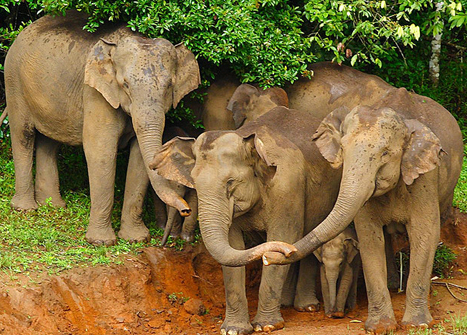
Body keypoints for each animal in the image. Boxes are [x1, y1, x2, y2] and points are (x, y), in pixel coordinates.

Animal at [4, 11, 201, 247]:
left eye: (169, 86)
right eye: (125, 84)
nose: (185, 210)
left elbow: (138, 157)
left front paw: (135, 239)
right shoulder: (94, 93)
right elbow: (101, 151)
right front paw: (101, 242)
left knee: (49, 141)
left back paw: (52, 205)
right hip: (14, 82)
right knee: (23, 135)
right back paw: (25, 209)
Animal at [152, 107, 342, 334]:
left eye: (230, 182)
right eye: (195, 183)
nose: (288, 250)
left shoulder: (287, 188)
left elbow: (285, 234)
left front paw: (267, 325)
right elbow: (233, 246)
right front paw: (233, 329)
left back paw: (307, 307)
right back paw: (285, 302)